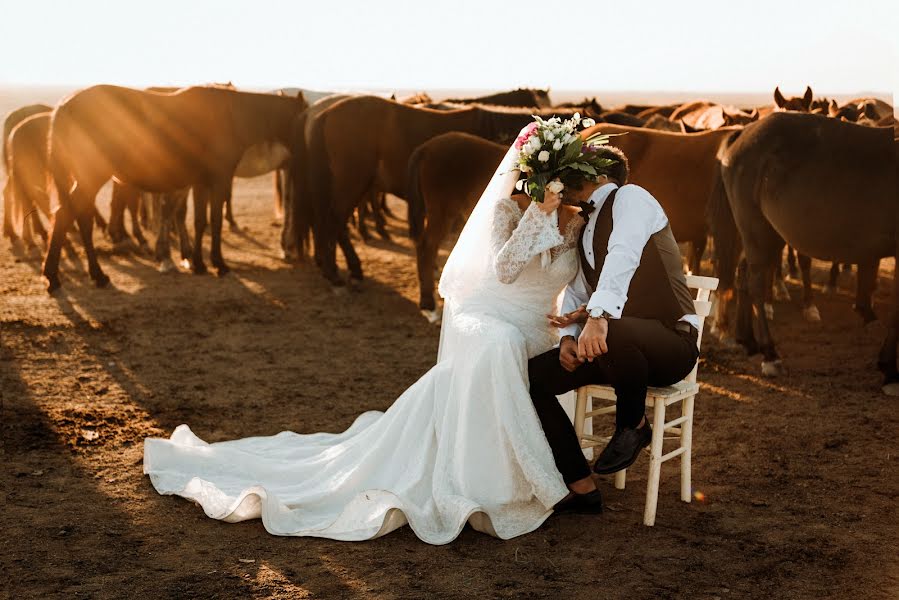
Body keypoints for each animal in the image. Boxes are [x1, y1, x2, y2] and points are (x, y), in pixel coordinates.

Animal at [42, 83, 308, 292]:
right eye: (303, 119)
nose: (304, 155)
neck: (231, 116)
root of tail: (64, 106)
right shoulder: (219, 181)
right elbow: (215, 221)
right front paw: (219, 264)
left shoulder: (202, 183)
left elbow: (200, 221)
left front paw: (198, 263)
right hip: (91, 177)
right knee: (76, 217)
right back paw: (93, 275)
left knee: (70, 216)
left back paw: (58, 276)